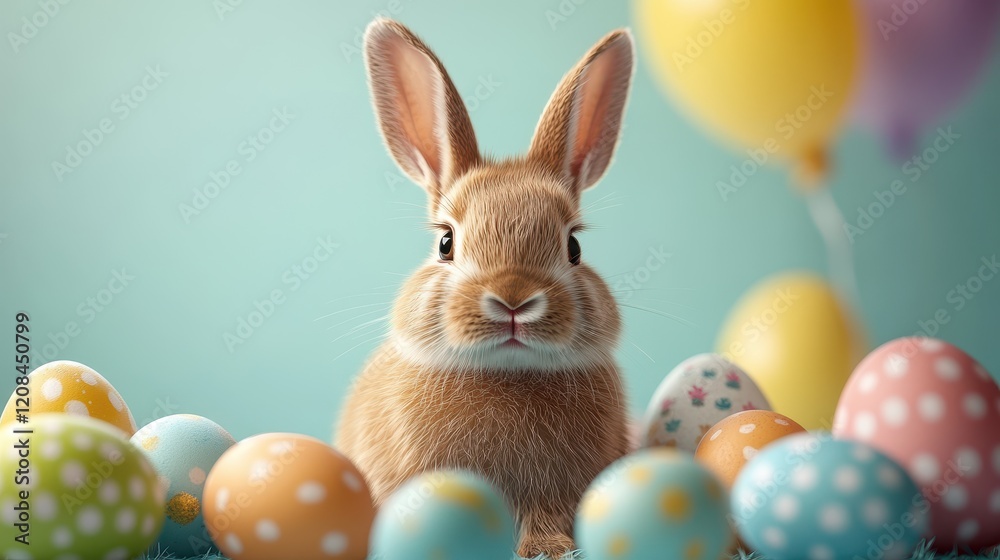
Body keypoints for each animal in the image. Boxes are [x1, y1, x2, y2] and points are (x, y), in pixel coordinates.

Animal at [336, 18, 634, 559]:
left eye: (574, 246)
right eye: (446, 243)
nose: (513, 299)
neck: (506, 374)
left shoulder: (554, 494)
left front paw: (548, 548)